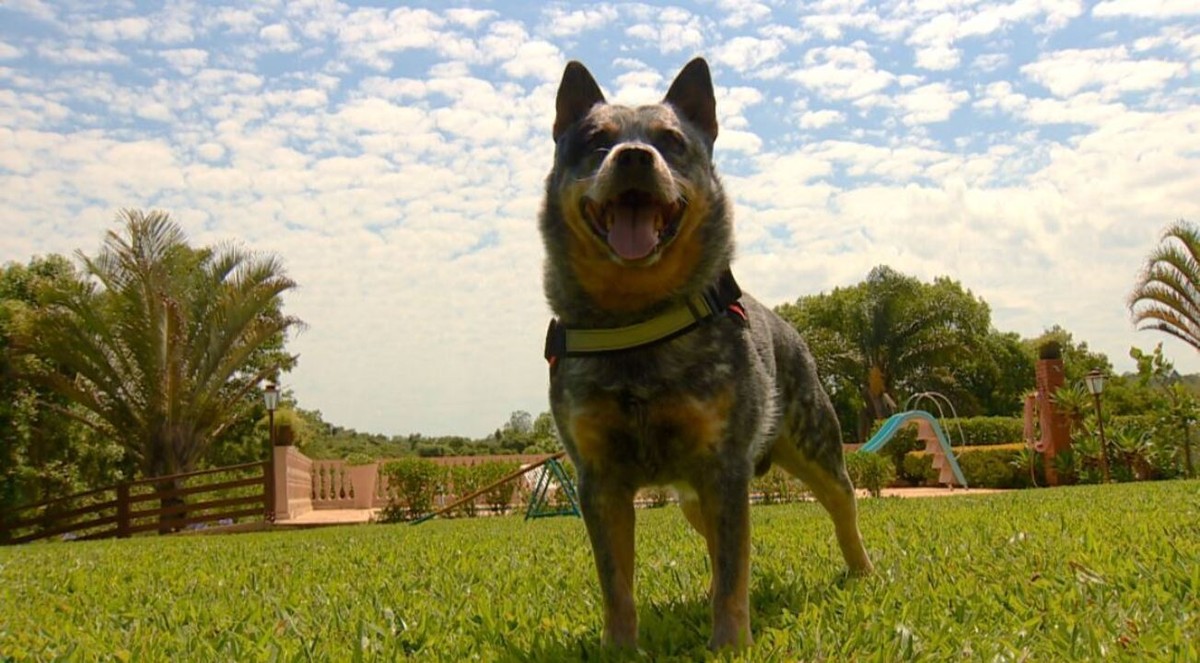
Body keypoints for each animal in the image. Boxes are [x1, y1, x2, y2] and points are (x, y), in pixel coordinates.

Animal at [540, 59, 868, 648]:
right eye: (597, 141)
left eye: (671, 141)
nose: (634, 156)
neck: (639, 320)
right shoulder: (599, 479)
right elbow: (617, 584)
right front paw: (620, 648)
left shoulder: (724, 466)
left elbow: (735, 569)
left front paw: (731, 643)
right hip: (695, 497)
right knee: (716, 543)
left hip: (814, 444)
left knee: (843, 505)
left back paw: (863, 571)